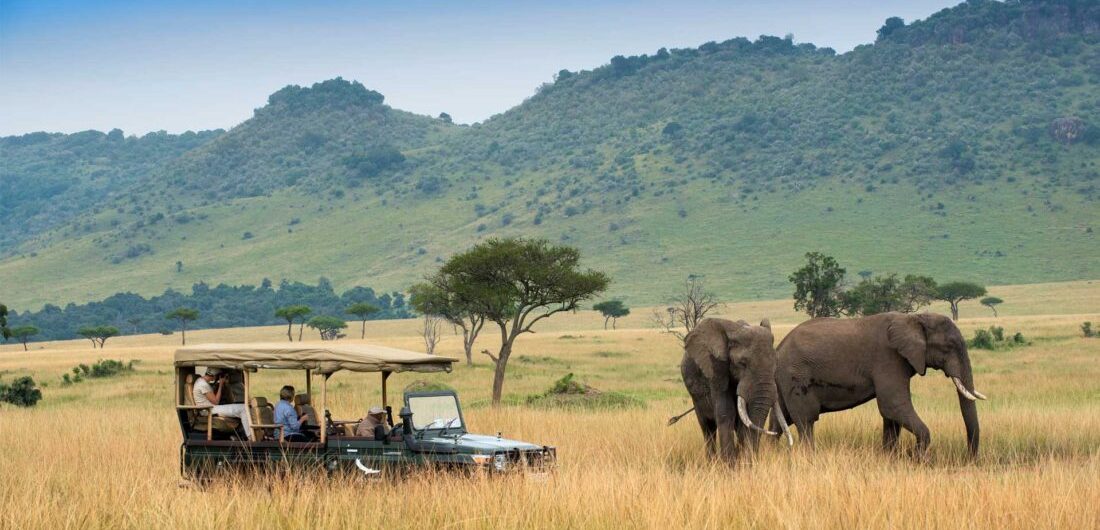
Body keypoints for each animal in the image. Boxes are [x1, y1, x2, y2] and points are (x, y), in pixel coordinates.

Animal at [676, 318, 792, 461]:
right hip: (695, 395)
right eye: (742, 363)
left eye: (776, 363)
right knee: (707, 428)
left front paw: (743, 461)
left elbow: (744, 421)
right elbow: (726, 413)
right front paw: (730, 464)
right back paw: (711, 461)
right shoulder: (716, 368)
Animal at [773, 312, 986, 456]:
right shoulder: (889, 358)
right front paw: (916, 458)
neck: (914, 318)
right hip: (796, 375)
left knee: (779, 422)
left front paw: (891, 458)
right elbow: (893, 406)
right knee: (806, 421)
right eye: (948, 347)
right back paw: (809, 456)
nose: (969, 458)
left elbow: (891, 415)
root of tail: (779, 347)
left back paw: (770, 452)